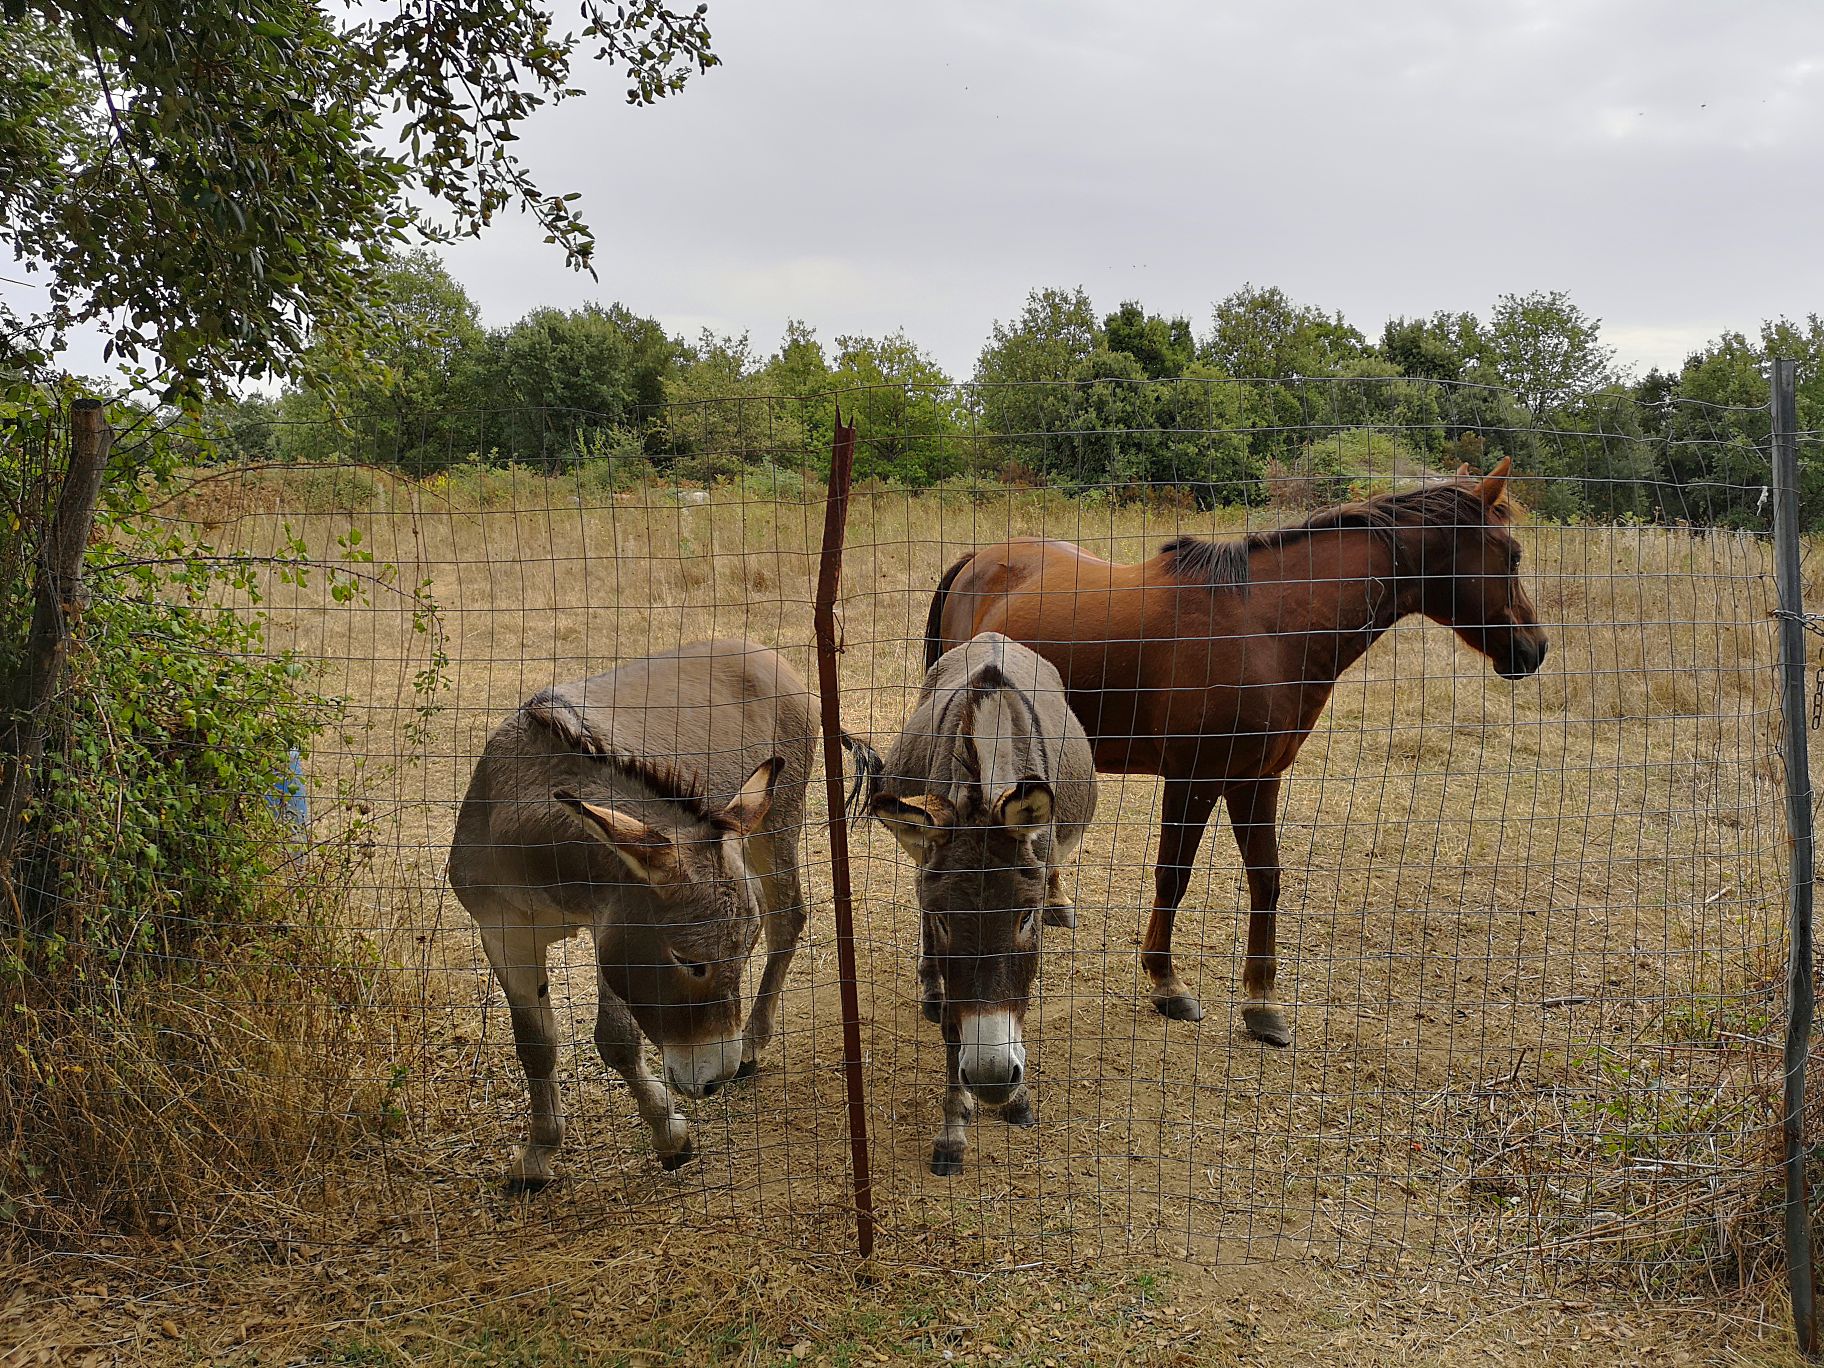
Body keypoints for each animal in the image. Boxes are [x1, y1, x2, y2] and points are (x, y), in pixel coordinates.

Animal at [933, 461, 1546, 1050]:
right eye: (1513, 556)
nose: (1534, 649)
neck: (1269, 628)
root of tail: (977, 561)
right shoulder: (1195, 779)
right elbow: (1173, 875)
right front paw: (1166, 983)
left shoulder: (1258, 779)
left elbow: (1266, 879)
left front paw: (1261, 1002)